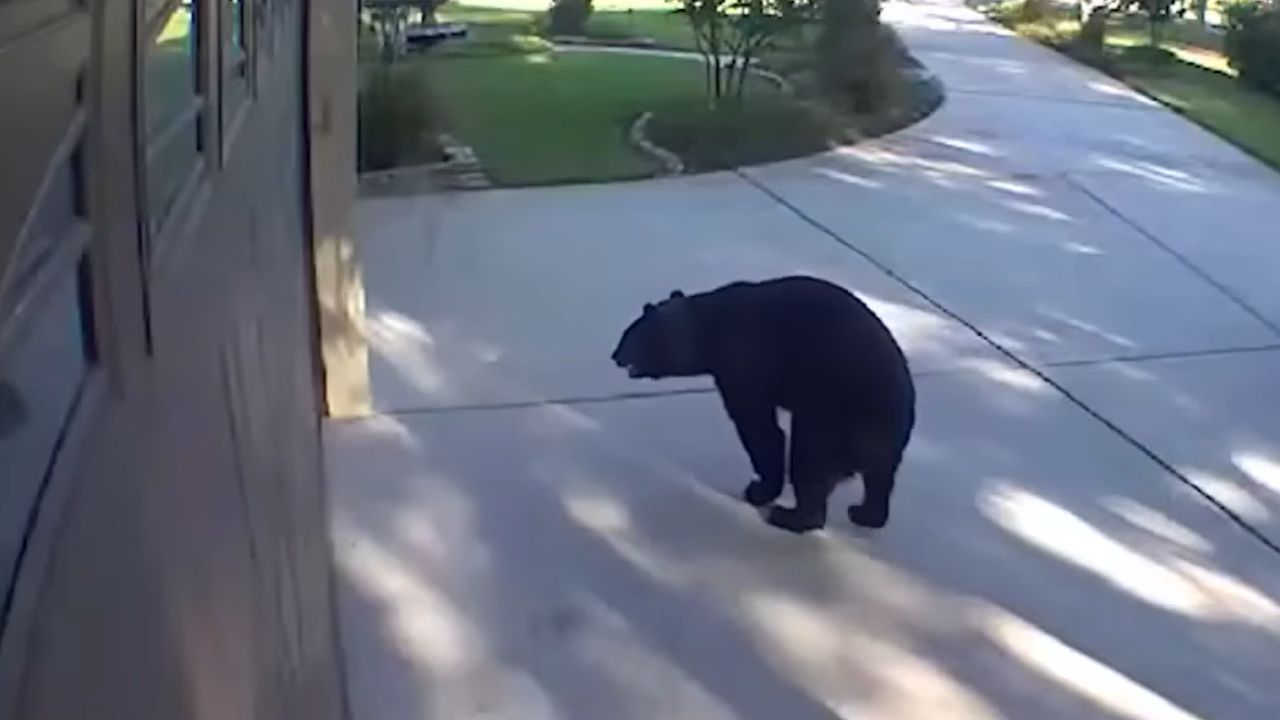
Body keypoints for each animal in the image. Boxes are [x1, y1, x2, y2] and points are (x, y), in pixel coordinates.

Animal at [611, 276, 915, 534]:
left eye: (630, 336)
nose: (614, 355)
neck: (711, 329)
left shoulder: (743, 362)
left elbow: (759, 427)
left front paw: (759, 489)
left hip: (837, 412)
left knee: (810, 457)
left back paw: (789, 515)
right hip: (877, 441)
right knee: (879, 478)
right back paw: (865, 513)